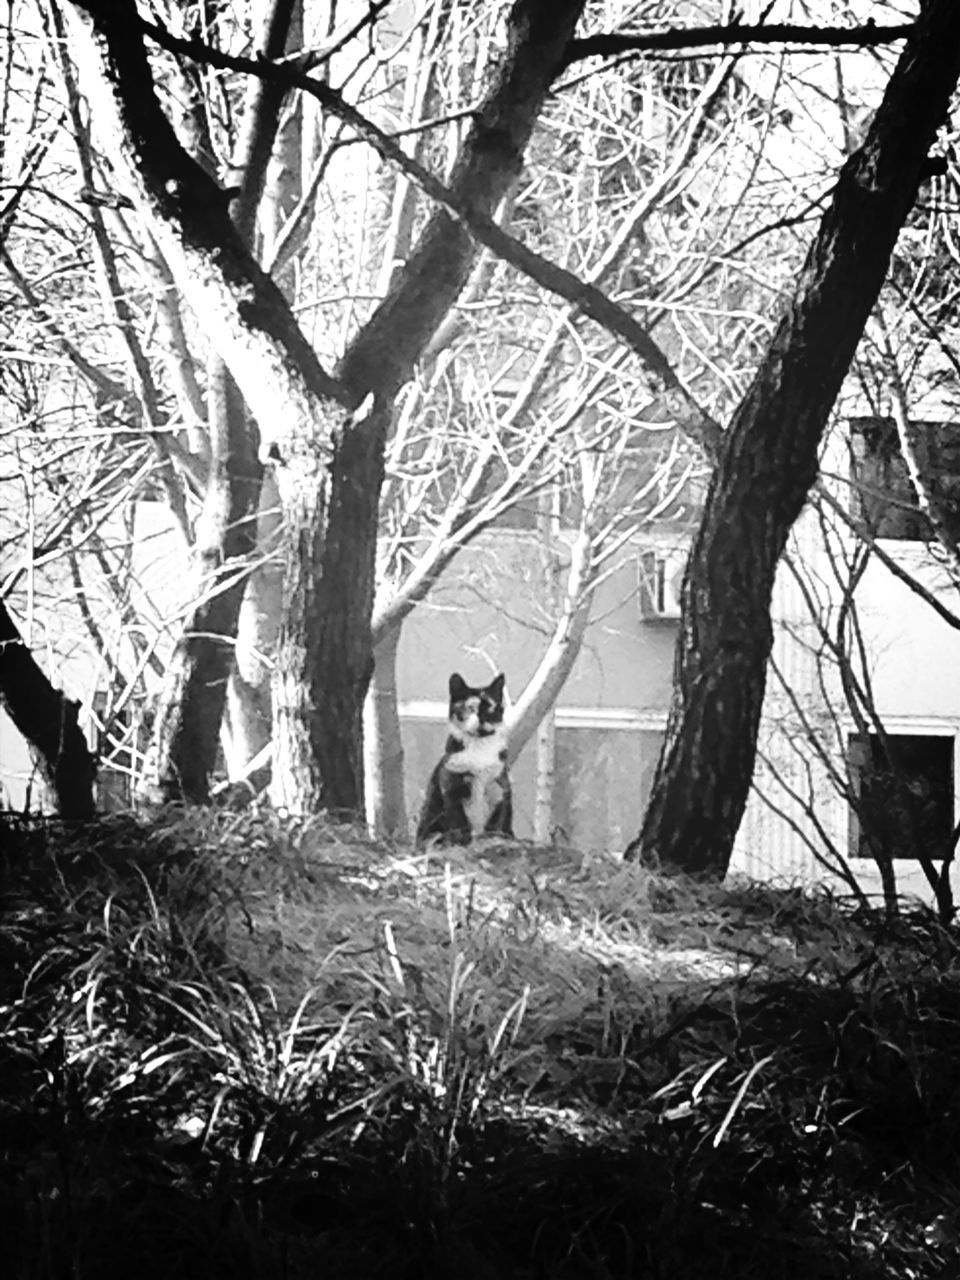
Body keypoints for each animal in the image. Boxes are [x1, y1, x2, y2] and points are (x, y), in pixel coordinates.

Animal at [417, 675, 514, 844]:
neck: (479, 746)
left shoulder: (501, 784)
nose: (482, 719)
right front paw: (462, 839)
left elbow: (499, 819)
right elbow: (459, 819)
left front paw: (497, 836)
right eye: (470, 707)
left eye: (490, 706)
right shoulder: (452, 783)